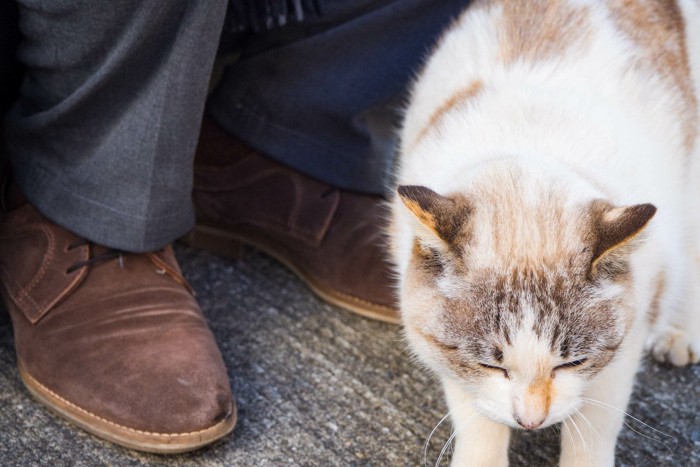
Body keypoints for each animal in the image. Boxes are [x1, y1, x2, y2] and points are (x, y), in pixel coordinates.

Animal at [388, 0, 700, 467]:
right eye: (493, 366)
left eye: (570, 364)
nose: (530, 420)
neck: (529, 140)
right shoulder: (447, 351)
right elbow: (478, 421)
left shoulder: (625, 335)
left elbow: (594, 427)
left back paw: (680, 332)